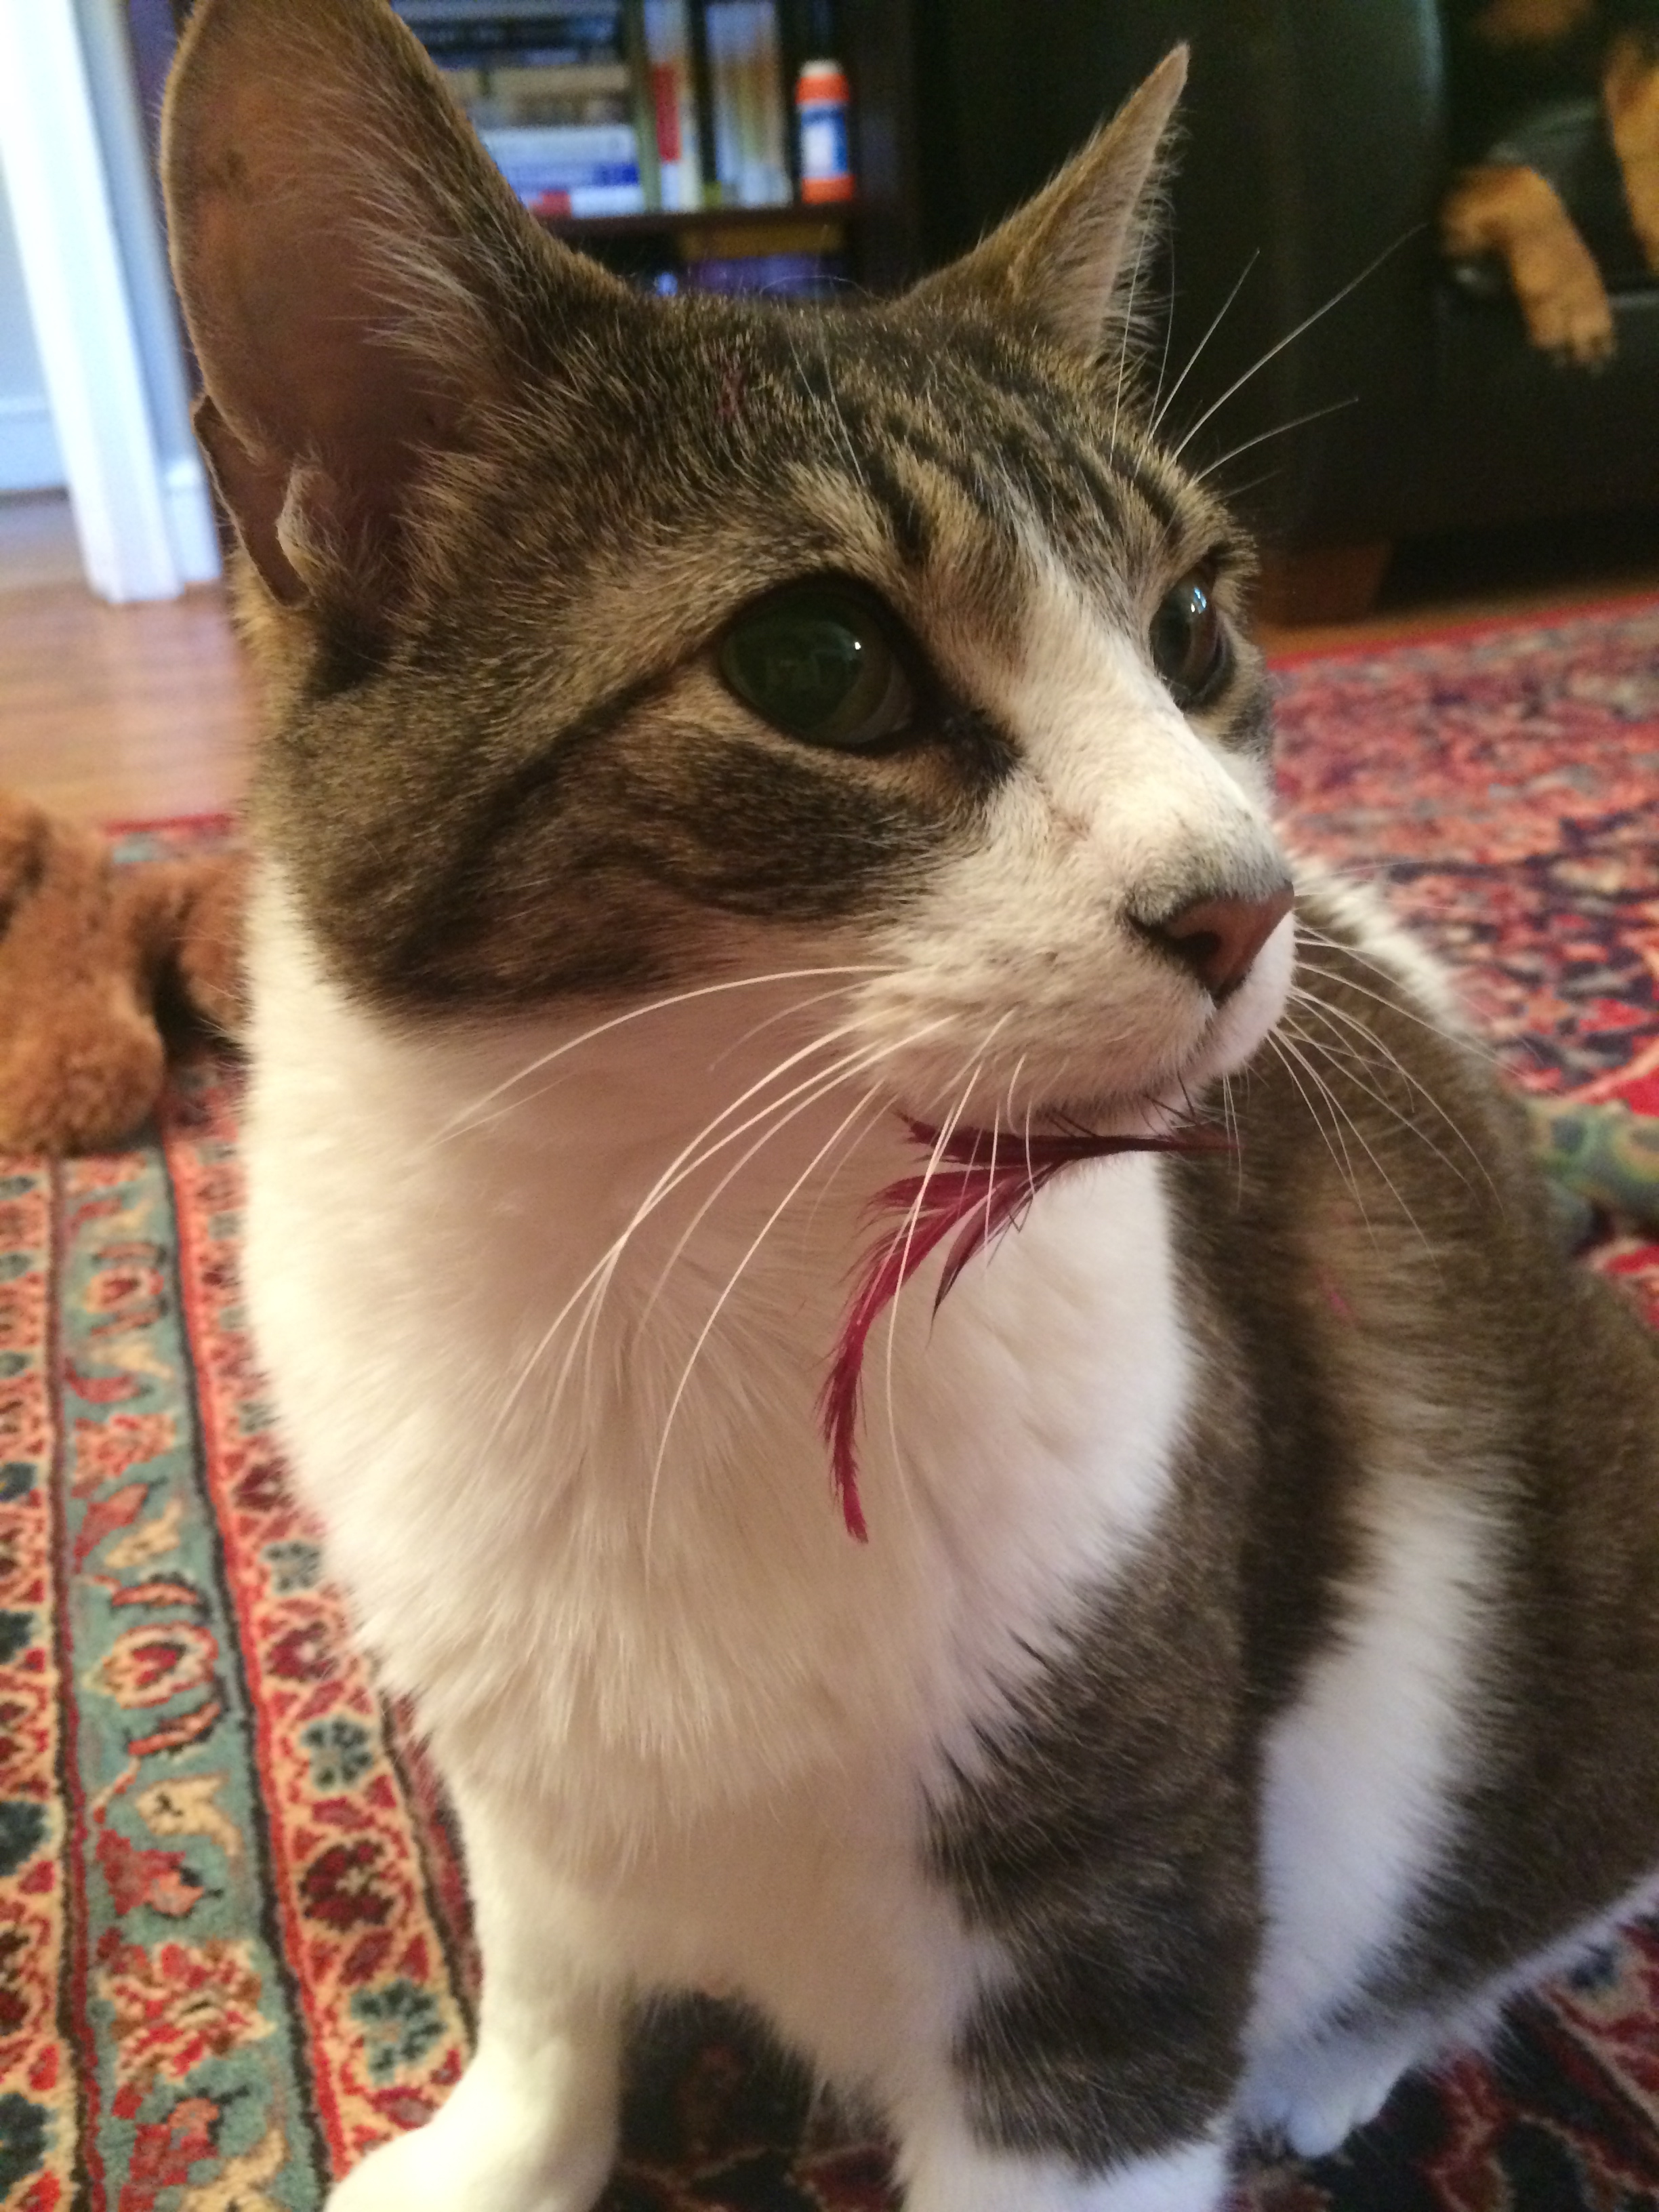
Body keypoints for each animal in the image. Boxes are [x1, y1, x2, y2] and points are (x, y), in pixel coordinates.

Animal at [162, 4, 1659, 2212]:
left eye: (1192, 623)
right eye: (818, 661)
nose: (1248, 897)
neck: (651, 1264)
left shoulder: (1100, 1928)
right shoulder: (507, 1734)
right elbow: (545, 1968)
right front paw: (501, 2144)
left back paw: (1341, 2061)